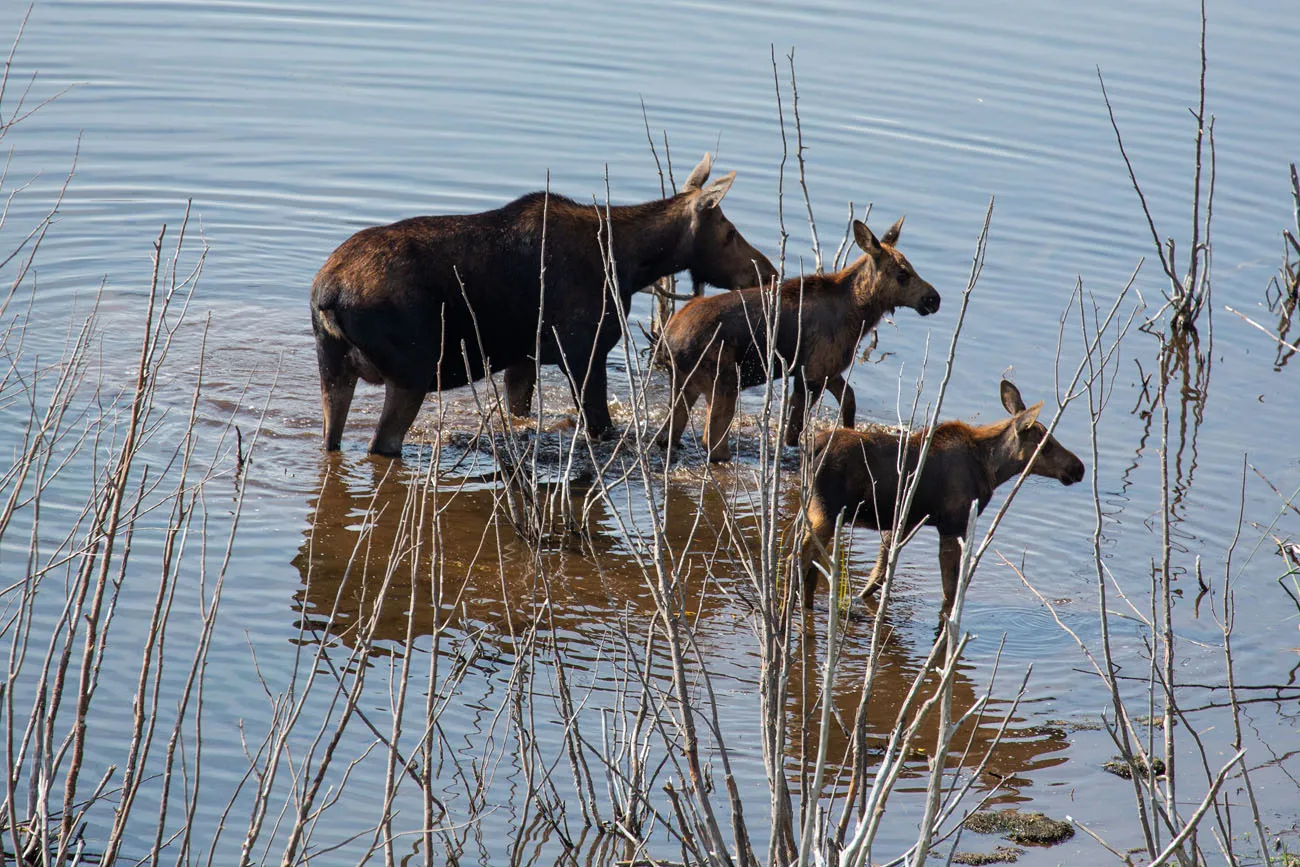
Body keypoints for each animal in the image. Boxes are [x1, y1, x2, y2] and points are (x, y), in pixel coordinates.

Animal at [309, 153, 774, 457]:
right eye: (729, 232)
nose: (766, 271)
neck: (629, 265)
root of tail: (326, 296)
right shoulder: (584, 351)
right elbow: (600, 428)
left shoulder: (524, 358)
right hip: (413, 370)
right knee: (381, 444)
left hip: (334, 371)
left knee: (333, 437)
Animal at [660, 217, 935, 460]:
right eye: (903, 274)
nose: (934, 298)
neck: (859, 316)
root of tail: (668, 341)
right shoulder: (811, 373)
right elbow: (793, 433)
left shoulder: (828, 370)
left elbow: (849, 400)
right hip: (725, 382)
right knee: (712, 443)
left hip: (685, 383)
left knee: (668, 434)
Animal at [795, 379, 1081, 616]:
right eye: (1046, 444)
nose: (1078, 468)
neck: (991, 468)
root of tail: (811, 447)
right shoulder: (953, 525)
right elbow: (950, 592)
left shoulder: (901, 523)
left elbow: (876, 577)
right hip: (826, 513)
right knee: (799, 557)